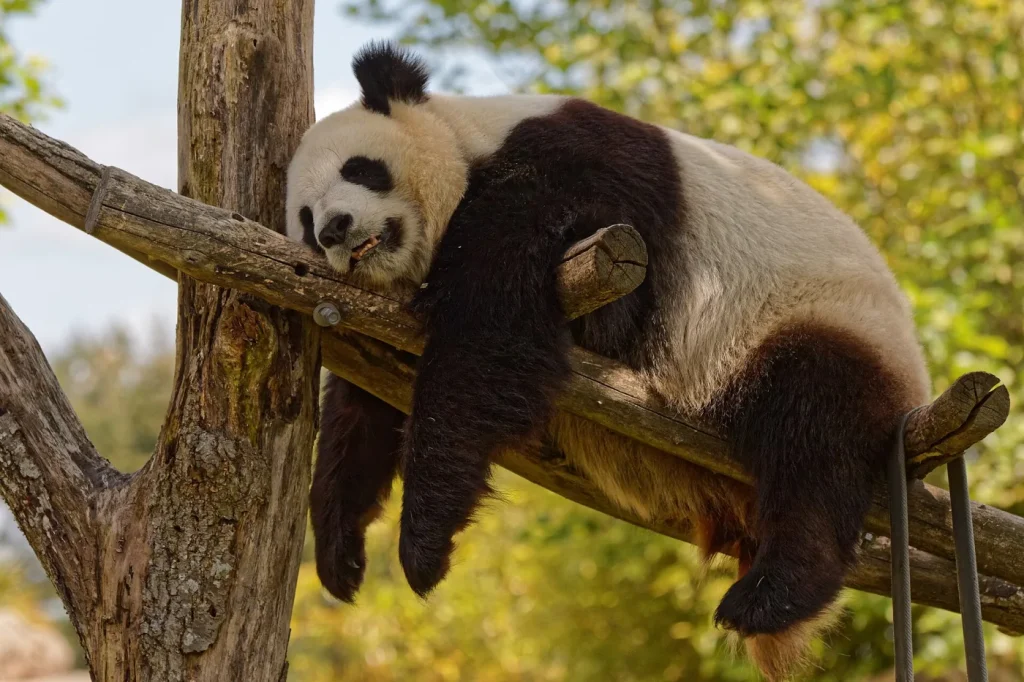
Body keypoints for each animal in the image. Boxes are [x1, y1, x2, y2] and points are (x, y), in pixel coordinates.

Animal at [286, 41, 930, 680]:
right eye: (305, 222)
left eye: (359, 168)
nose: (336, 227)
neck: (473, 141)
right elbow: (365, 404)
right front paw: (340, 550)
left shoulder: (563, 173)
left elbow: (490, 332)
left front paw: (424, 545)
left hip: (808, 322)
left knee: (814, 431)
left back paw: (771, 595)